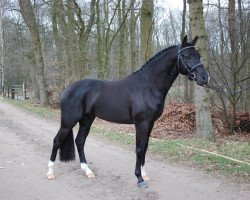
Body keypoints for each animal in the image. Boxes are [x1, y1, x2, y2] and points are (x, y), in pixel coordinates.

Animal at [46, 35, 209, 188]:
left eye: (199, 55)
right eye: (187, 56)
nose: (204, 78)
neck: (147, 86)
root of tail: (67, 89)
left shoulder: (150, 124)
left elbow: (145, 148)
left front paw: (144, 174)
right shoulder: (141, 123)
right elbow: (139, 149)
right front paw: (139, 179)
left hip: (87, 119)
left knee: (79, 141)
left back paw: (88, 171)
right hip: (68, 121)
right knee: (57, 141)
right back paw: (50, 172)